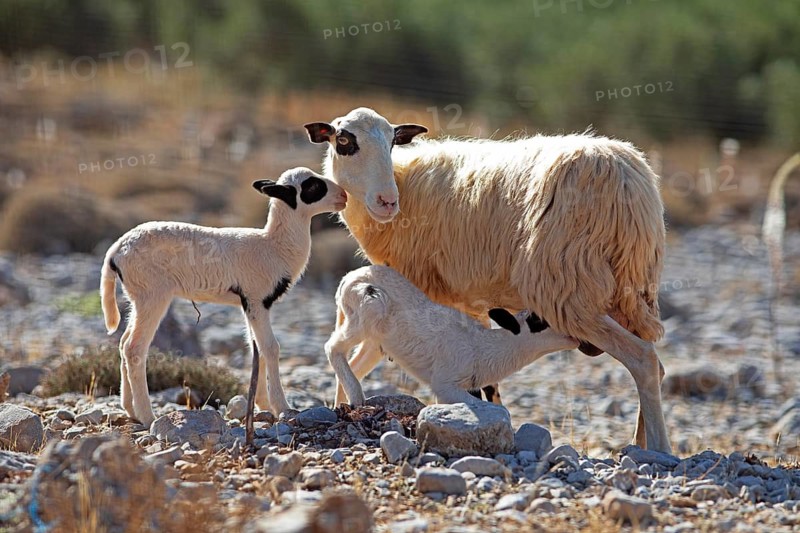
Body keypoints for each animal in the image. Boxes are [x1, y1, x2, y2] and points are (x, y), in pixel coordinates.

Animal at [100, 167, 348, 442]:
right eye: (312, 186)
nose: (344, 196)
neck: (272, 245)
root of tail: (116, 251)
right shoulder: (256, 300)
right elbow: (270, 348)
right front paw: (282, 407)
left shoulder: (249, 304)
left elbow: (257, 350)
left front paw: (262, 405)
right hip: (153, 295)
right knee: (134, 348)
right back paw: (147, 416)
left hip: (137, 296)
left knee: (123, 343)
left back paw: (130, 409)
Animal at [326, 265, 579, 406]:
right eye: (538, 321)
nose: (575, 337)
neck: (480, 346)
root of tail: (347, 278)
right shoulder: (444, 383)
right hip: (369, 308)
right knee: (332, 347)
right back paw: (357, 399)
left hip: (375, 341)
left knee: (354, 364)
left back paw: (341, 406)